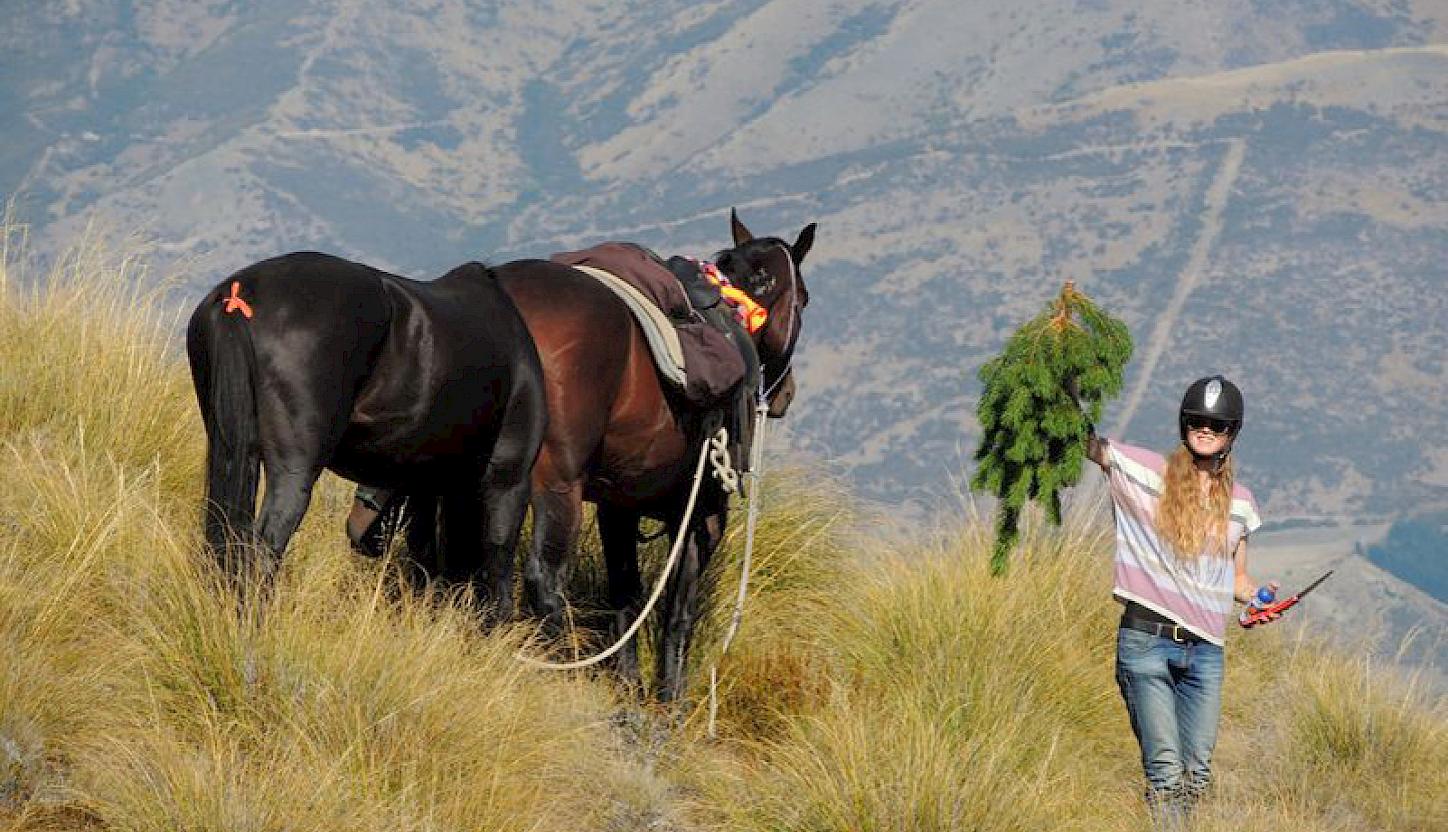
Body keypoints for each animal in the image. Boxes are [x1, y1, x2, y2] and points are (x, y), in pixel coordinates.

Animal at [188, 247, 547, 613]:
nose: (360, 534)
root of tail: (241, 291)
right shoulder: (508, 480)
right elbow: (496, 566)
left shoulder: (429, 485)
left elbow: (428, 561)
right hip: (293, 471)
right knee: (263, 548)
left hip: (229, 449)